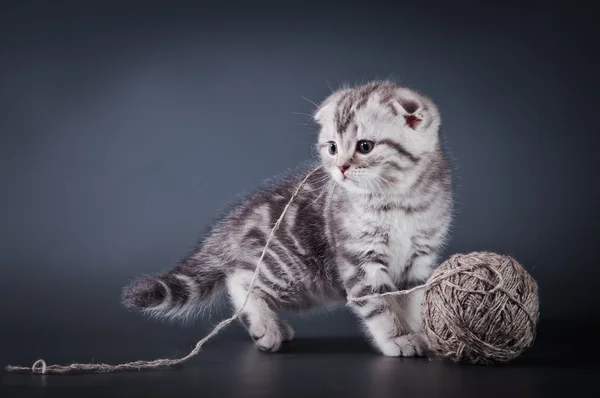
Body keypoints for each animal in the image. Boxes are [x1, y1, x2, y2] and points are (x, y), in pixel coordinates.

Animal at [122, 81, 452, 358]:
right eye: (332, 147)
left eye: (365, 146)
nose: (341, 168)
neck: (398, 202)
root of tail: (238, 219)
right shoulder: (360, 260)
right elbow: (379, 305)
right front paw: (397, 339)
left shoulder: (420, 258)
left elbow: (414, 302)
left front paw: (421, 334)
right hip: (293, 271)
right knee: (239, 278)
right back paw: (265, 328)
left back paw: (275, 326)